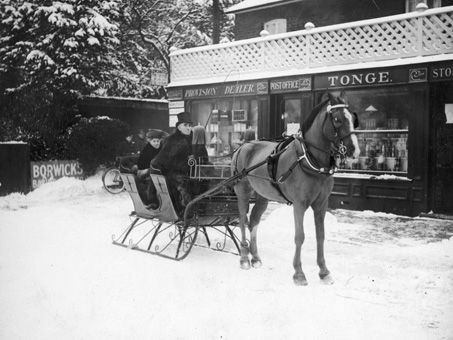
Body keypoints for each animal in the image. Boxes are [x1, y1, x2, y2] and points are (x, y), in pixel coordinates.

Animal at [231, 92, 358, 284]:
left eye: (353, 118)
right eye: (337, 119)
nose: (354, 149)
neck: (309, 160)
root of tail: (243, 146)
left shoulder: (321, 204)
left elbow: (320, 236)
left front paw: (324, 271)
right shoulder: (299, 204)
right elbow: (300, 236)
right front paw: (299, 273)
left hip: (262, 196)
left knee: (254, 221)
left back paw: (256, 258)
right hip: (243, 193)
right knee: (242, 221)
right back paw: (244, 258)